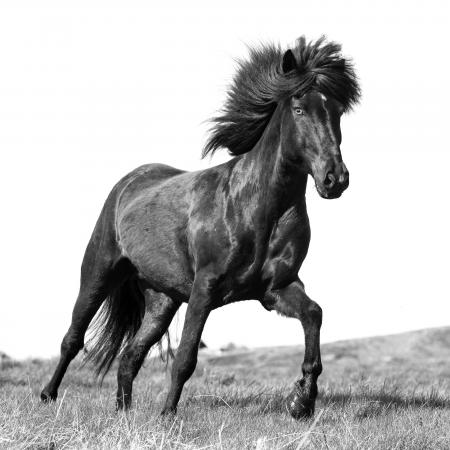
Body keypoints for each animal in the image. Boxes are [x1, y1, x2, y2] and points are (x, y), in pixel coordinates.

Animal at [41, 37, 358, 420]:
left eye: (337, 111)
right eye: (299, 109)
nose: (335, 179)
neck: (256, 209)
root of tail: (129, 182)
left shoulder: (276, 288)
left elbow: (313, 315)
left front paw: (302, 402)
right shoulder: (205, 288)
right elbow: (186, 358)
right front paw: (167, 416)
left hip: (162, 300)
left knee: (130, 357)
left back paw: (124, 414)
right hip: (98, 274)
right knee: (72, 339)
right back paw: (48, 396)